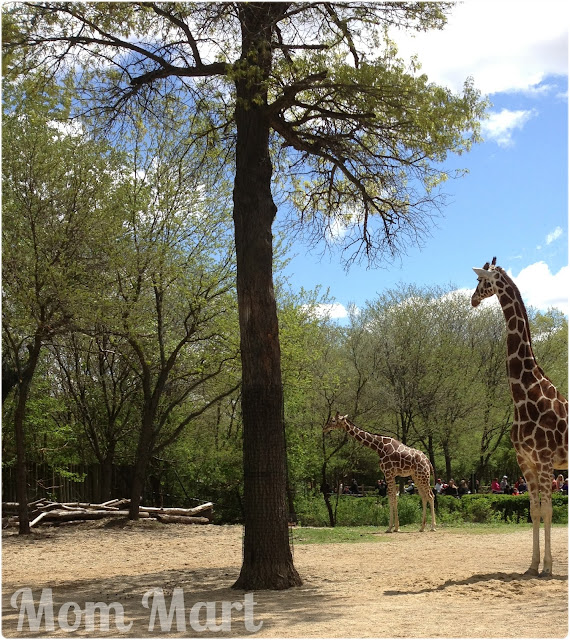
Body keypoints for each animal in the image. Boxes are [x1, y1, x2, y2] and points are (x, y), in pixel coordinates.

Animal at [470, 258, 564, 576]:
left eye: (481, 281)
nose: (472, 299)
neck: (525, 392)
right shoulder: (525, 460)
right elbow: (534, 510)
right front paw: (533, 565)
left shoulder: (545, 460)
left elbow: (548, 509)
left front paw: (548, 567)